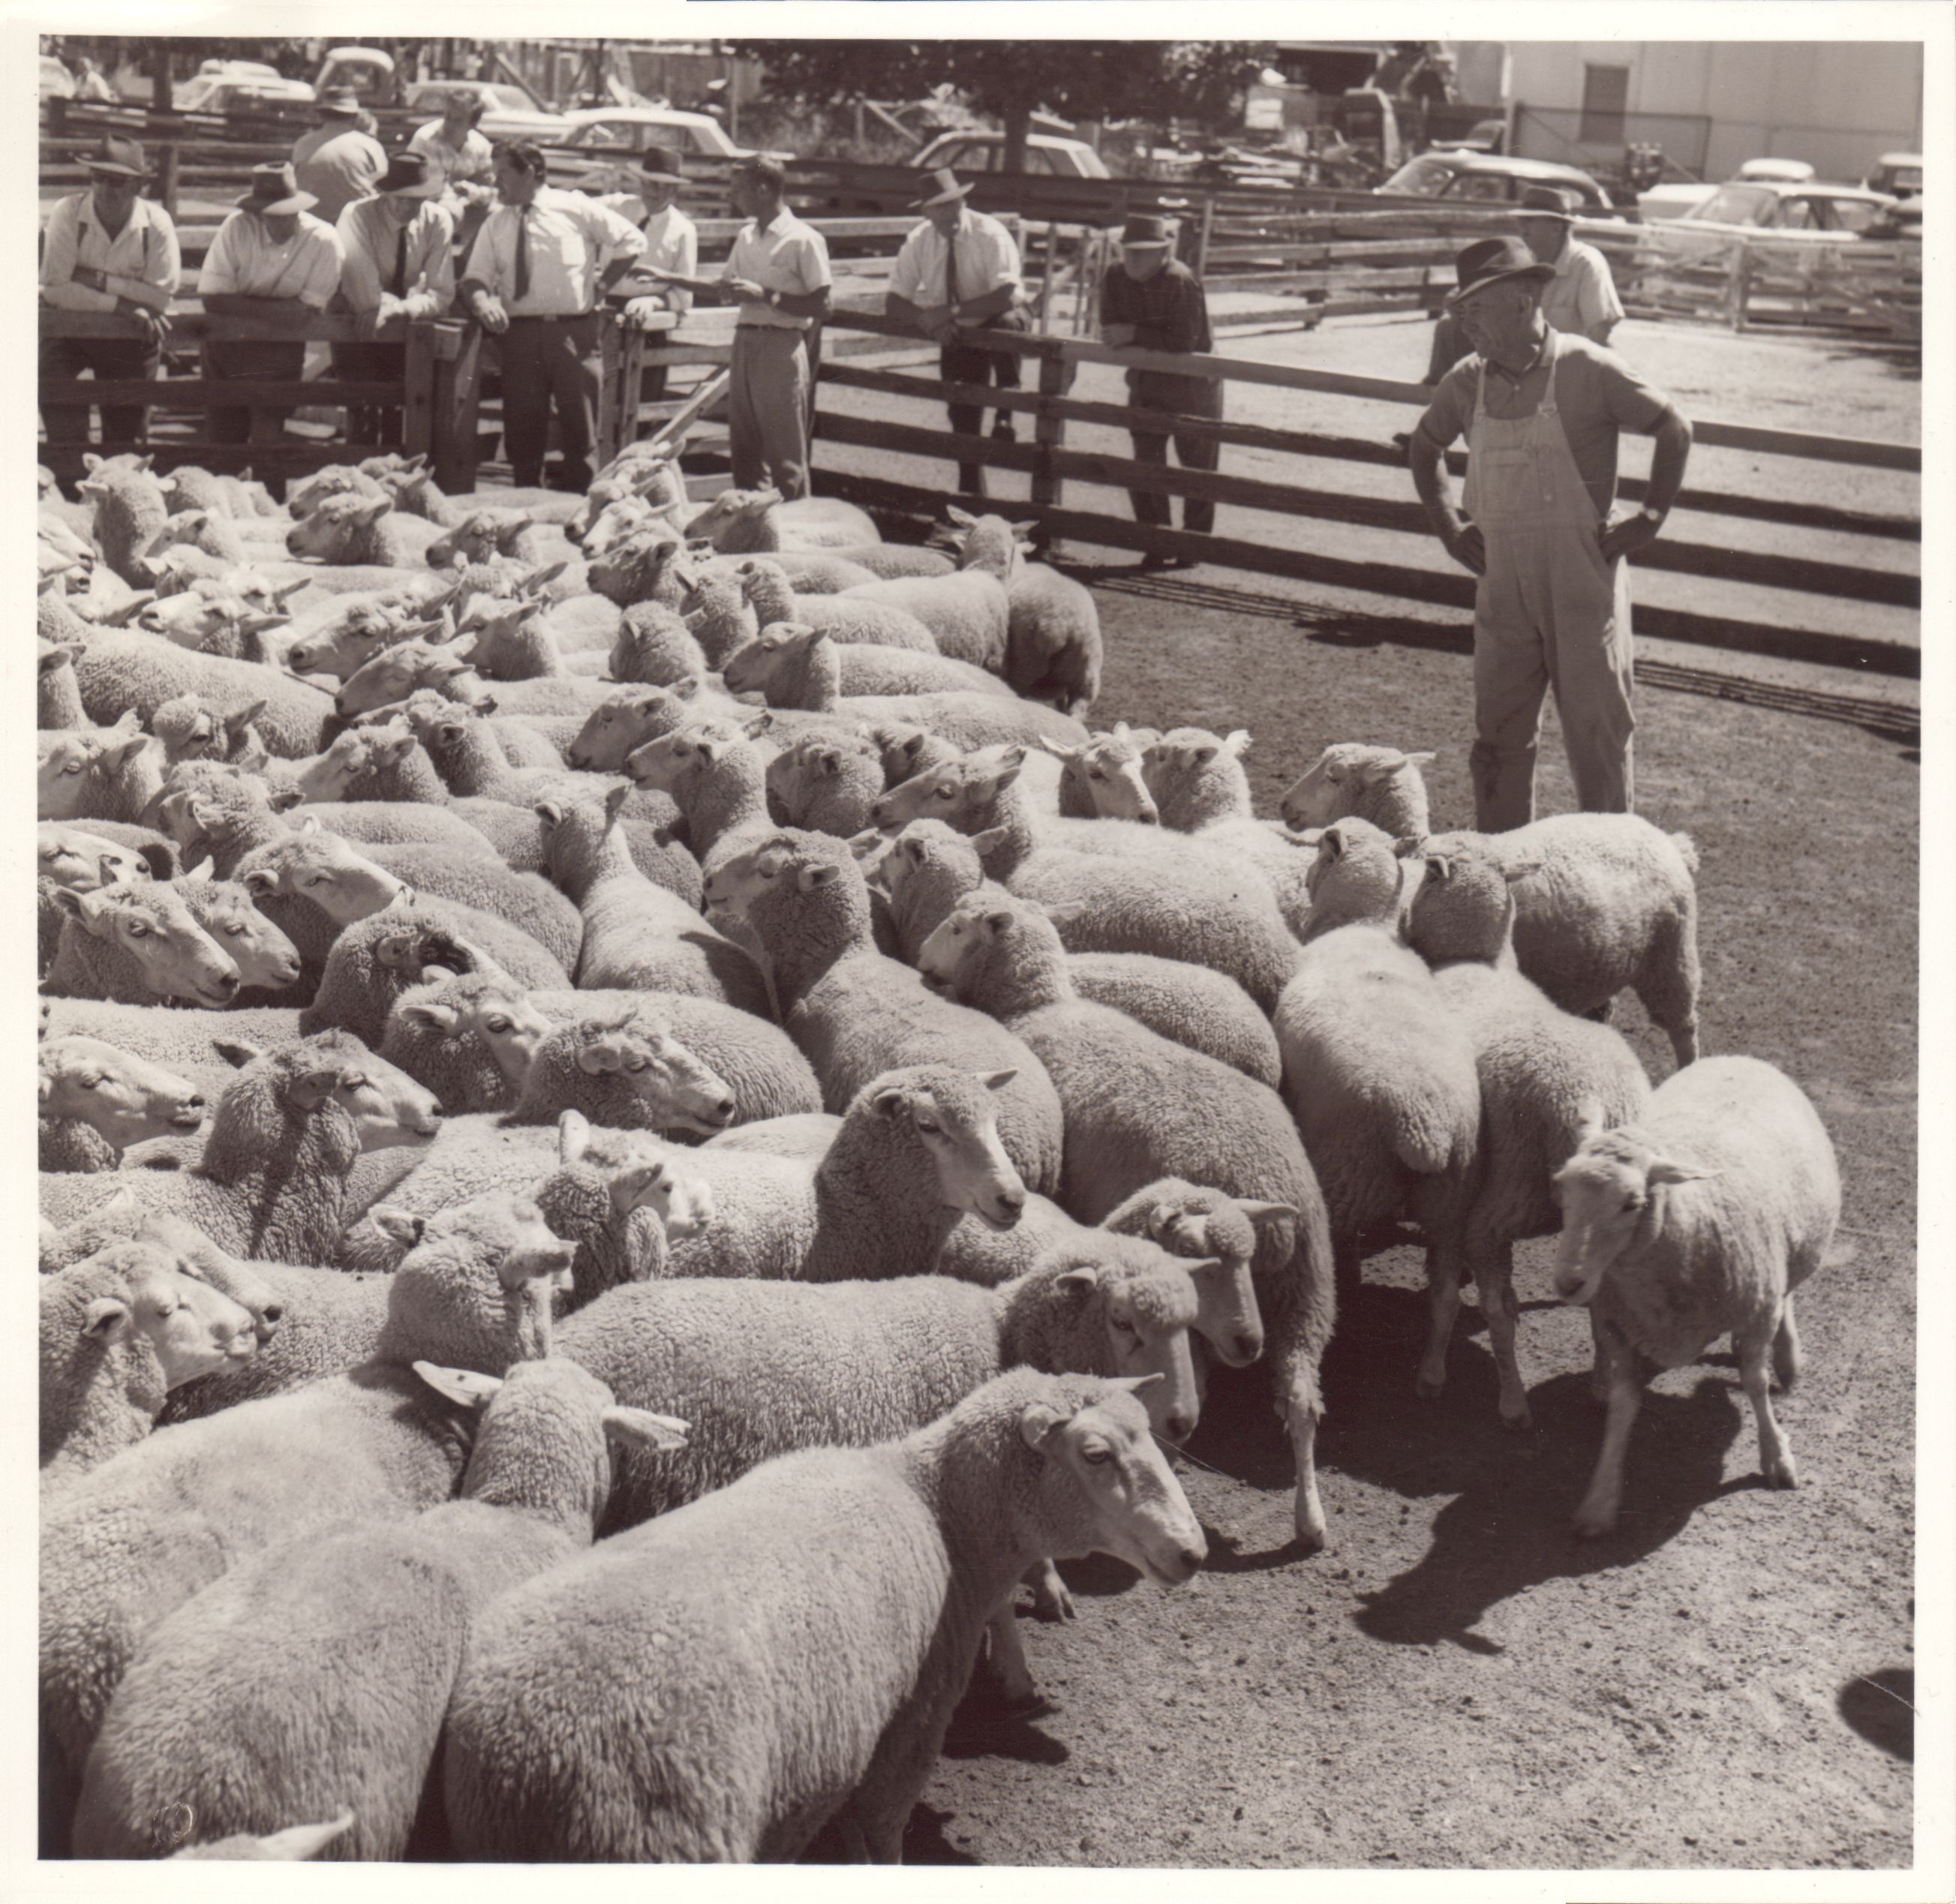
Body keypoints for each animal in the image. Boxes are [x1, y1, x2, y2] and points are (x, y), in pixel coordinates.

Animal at [443, 1368, 1202, 1862]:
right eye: (1095, 1453)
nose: (1193, 1552)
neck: (939, 1507)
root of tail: (528, 1754)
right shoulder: (907, 1730)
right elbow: (879, 1834)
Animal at [919, 886, 1338, 1546]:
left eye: (958, 928)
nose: (919, 959)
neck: (1041, 1005)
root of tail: (1273, 1201)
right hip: (1307, 1297)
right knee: (1300, 1403)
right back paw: (1310, 1519)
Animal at [1271, 819, 1481, 1290]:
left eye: (1319, 852)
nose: (1304, 879)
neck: (1362, 923)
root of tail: (1424, 1132)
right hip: (1452, 1196)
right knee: (1444, 1282)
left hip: (1349, 1173)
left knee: (1341, 1248)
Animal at [1404, 833, 1653, 1427]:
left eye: (1425, 875)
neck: (1474, 962)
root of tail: (1588, 1094)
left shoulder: (1456, 1195)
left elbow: (1447, 1292)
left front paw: (1431, 1373)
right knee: (1599, 1299)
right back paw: (1601, 1386)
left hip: (1506, 1194)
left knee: (1498, 1309)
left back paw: (1513, 1401)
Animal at [1550, 1057, 1841, 1535]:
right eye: (1561, 1190)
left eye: (1632, 1203)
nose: (1568, 1283)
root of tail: (1736, 1058)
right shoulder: (1618, 1326)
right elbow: (1623, 1407)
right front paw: (1600, 1500)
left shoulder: (1756, 1305)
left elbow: (1755, 1384)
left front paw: (1776, 1457)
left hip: (1784, 1256)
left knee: (1787, 1297)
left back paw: (1787, 1357)